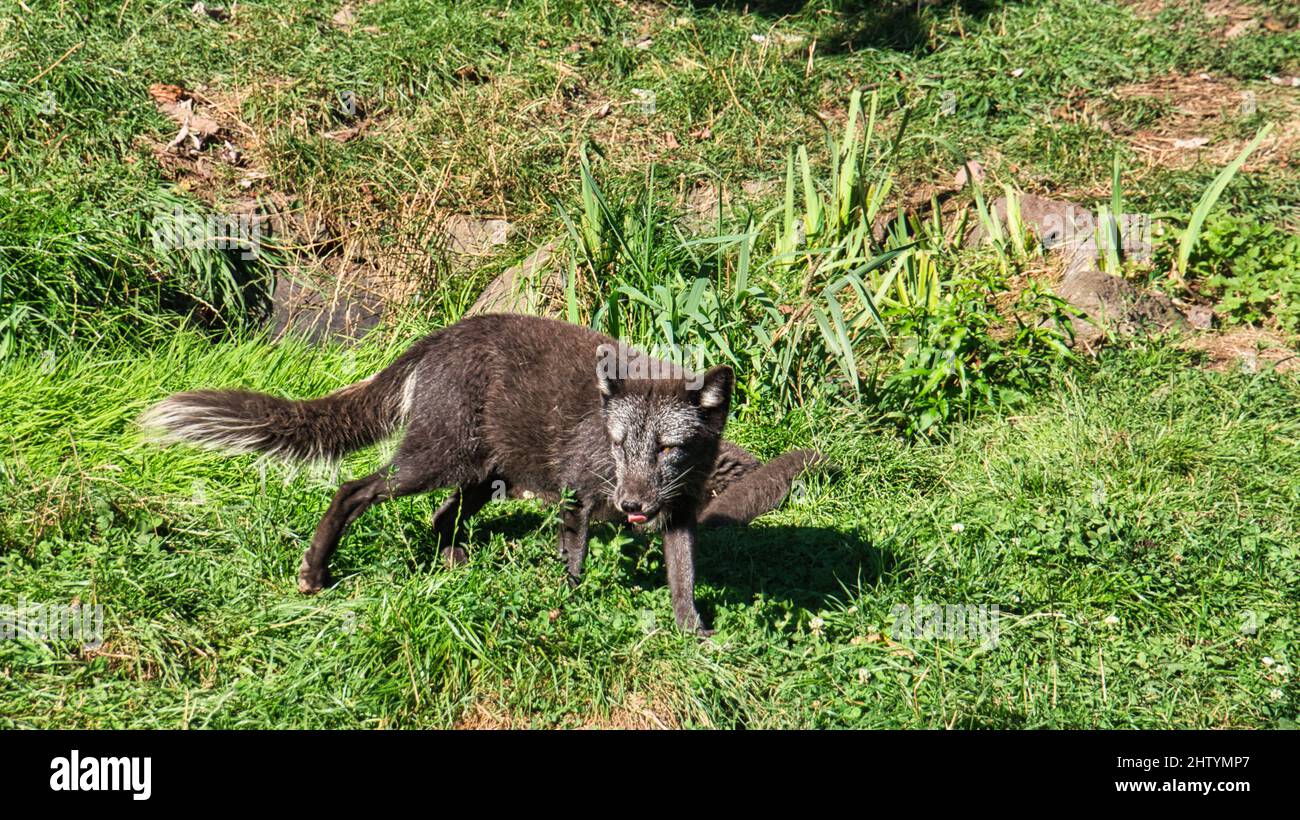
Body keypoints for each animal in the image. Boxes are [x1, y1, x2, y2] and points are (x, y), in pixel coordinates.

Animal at [142, 314, 821, 634]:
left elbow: (684, 581)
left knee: (441, 516)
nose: (632, 505)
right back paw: (315, 570)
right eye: (618, 443)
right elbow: (574, 567)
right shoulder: (576, 497)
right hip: (434, 461)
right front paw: (569, 609)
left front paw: (692, 635)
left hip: (480, 475)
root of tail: (441, 335)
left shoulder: (677, 514)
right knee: (353, 489)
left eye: (668, 449)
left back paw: (451, 565)